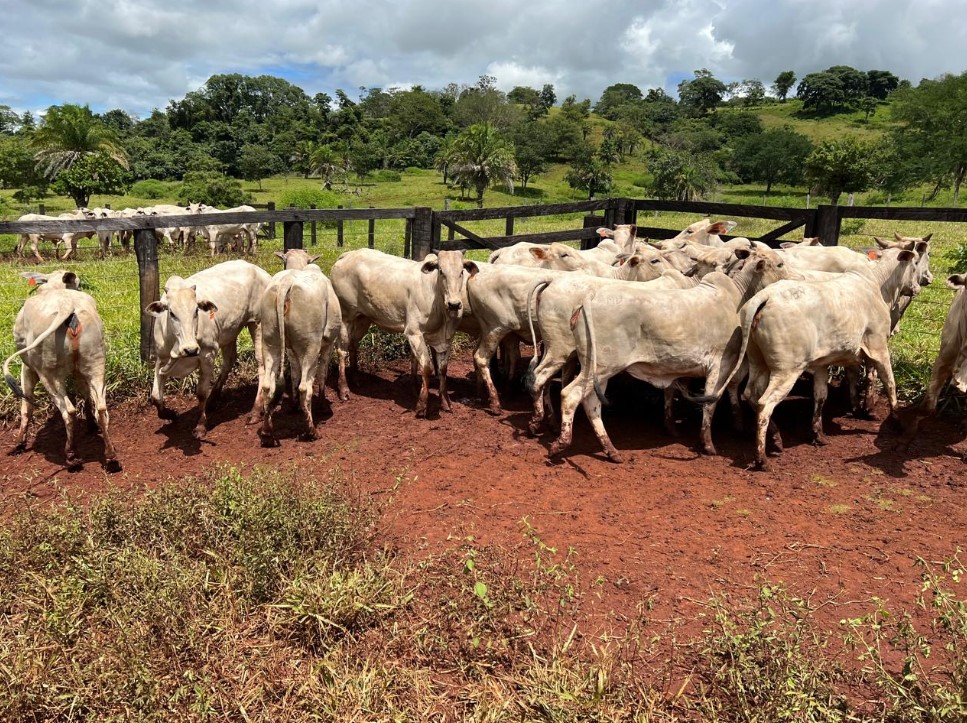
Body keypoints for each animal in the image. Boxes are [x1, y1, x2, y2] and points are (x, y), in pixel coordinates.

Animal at [2, 270, 120, 471]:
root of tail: (67, 307)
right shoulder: (79, 372)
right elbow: (86, 396)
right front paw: (90, 425)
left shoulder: (27, 368)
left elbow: (27, 406)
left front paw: (19, 443)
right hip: (96, 364)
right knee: (101, 409)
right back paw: (110, 455)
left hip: (48, 374)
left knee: (69, 411)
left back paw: (71, 456)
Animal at [146, 259, 271, 439]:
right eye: (172, 313)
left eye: (196, 311)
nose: (190, 350)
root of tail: (261, 272)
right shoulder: (161, 359)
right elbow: (155, 396)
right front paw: (171, 414)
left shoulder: (207, 355)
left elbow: (201, 393)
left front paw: (200, 426)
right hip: (229, 331)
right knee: (229, 360)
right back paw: (213, 400)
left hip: (257, 323)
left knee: (261, 364)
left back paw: (255, 411)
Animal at [257, 249, 341, 447]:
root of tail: (286, 283)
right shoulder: (328, 343)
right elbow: (322, 374)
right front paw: (323, 405)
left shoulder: (290, 350)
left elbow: (294, 373)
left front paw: (294, 405)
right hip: (311, 344)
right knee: (305, 387)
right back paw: (311, 431)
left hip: (270, 341)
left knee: (268, 386)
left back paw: (267, 433)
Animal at [330, 248, 479, 417]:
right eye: (441, 271)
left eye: (461, 271)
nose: (454, 304)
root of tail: (347, 254)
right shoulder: (414, 333)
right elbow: (426, 367)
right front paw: (421, 405)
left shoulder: (446, 338)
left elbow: (442, 369)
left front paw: (445, 402)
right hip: (346, 316)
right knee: (342, 350)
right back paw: (344, 389)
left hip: (363, 318)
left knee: (353, 345)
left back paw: (356, 379)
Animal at [737, 248, 921, 469]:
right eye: (915, 264)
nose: (918, 287)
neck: (876, 283)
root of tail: (766, 296)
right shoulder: (878, 346)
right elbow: (889, 382)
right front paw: (897, 420)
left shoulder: (822, 364)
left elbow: (821, 396)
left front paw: (818, 434)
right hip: (786, 370)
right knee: (765, 403)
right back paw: (762, 458)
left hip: (758, 361)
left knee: (750, 395)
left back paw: (776, 437)